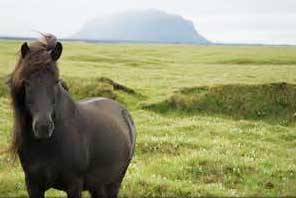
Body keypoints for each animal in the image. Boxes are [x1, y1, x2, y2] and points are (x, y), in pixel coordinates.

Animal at [6, 34, 136, 198]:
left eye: (56, 81)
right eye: (26, 82)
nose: (43, 127)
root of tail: (123, 111)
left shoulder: (74, 185)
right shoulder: (33, 185)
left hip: (114, 182)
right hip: (98, 186)